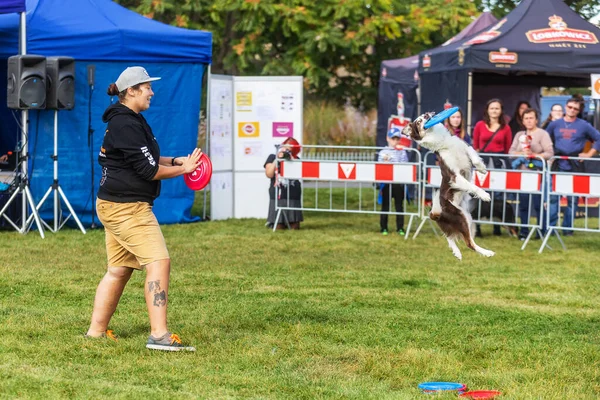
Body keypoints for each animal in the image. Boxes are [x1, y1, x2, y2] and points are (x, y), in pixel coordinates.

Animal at [400, 111, 494, 260]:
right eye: (419, 121)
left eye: (424, 115)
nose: (427, 114)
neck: (443, 142)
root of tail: (436, 214)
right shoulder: (454, 176)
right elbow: (472, 186)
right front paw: (484, 195)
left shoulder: (466, 148)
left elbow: (474, 157)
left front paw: (482, 169)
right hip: (461, 217)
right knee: (468, 242)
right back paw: (487, 252)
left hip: (467, 217)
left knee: (450, 236)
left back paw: (457, 252)